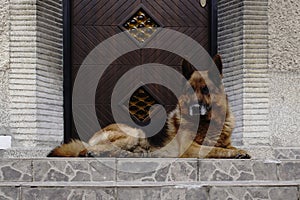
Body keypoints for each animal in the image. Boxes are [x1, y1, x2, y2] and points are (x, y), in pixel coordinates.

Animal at [48, 55, 251, 159]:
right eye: (190, 90)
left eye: (205, 89)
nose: (194, 108)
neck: (208, 122)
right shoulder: (189, 148)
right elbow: (216, 150)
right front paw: (237, 153)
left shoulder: (225, 142)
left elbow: (227, 146)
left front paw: (238, 150)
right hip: (134, 133)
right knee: (86, 150)